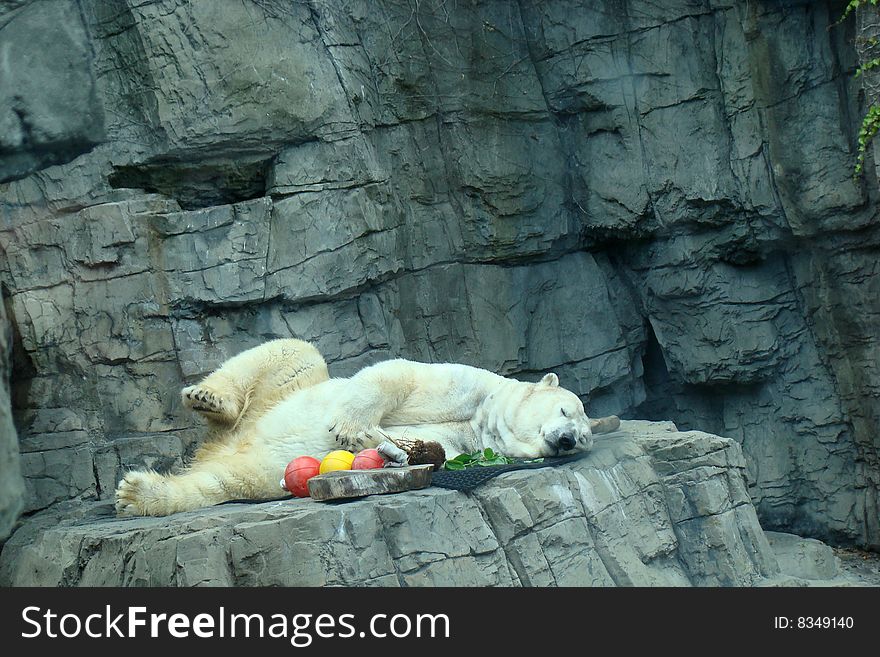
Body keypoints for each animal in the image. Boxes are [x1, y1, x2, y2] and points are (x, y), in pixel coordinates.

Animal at [117, 338, 620, 516]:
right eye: (565, 412)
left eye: (584, 440)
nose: (567, 440)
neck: (484, 421)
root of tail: (221, 444)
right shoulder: (471, 385)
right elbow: (398, 375)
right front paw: (352, 429)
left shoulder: (467, 440)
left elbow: (431, 449)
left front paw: (392, 452)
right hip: (275, 396)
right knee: (291, 351)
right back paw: (208, 398)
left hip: (256, 466)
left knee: (223, 481)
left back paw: (140, 494)